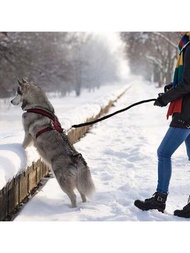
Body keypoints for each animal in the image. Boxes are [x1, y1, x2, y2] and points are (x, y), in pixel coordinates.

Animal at [10, 79, 95, 208]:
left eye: (17, 93)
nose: (10, 101)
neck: (37, 106)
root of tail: (77, 159)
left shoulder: (27, 134)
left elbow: (23, 145)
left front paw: (19, 150)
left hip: (61, 180)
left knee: (73, 196)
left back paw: (72, 208)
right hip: (78, 183)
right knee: (82, 194)